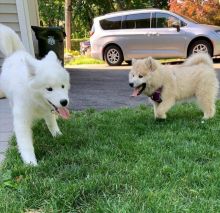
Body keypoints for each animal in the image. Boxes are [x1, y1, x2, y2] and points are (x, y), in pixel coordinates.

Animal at [0, 24, 70, 166]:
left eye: (62, 86)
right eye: (49, 89)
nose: (64, 102)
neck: (35, 100)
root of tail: (15, 53)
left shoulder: (49, 110)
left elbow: (51, 123)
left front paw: (57, 135)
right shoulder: (21, 119)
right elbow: (25, 143)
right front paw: (31, 163)